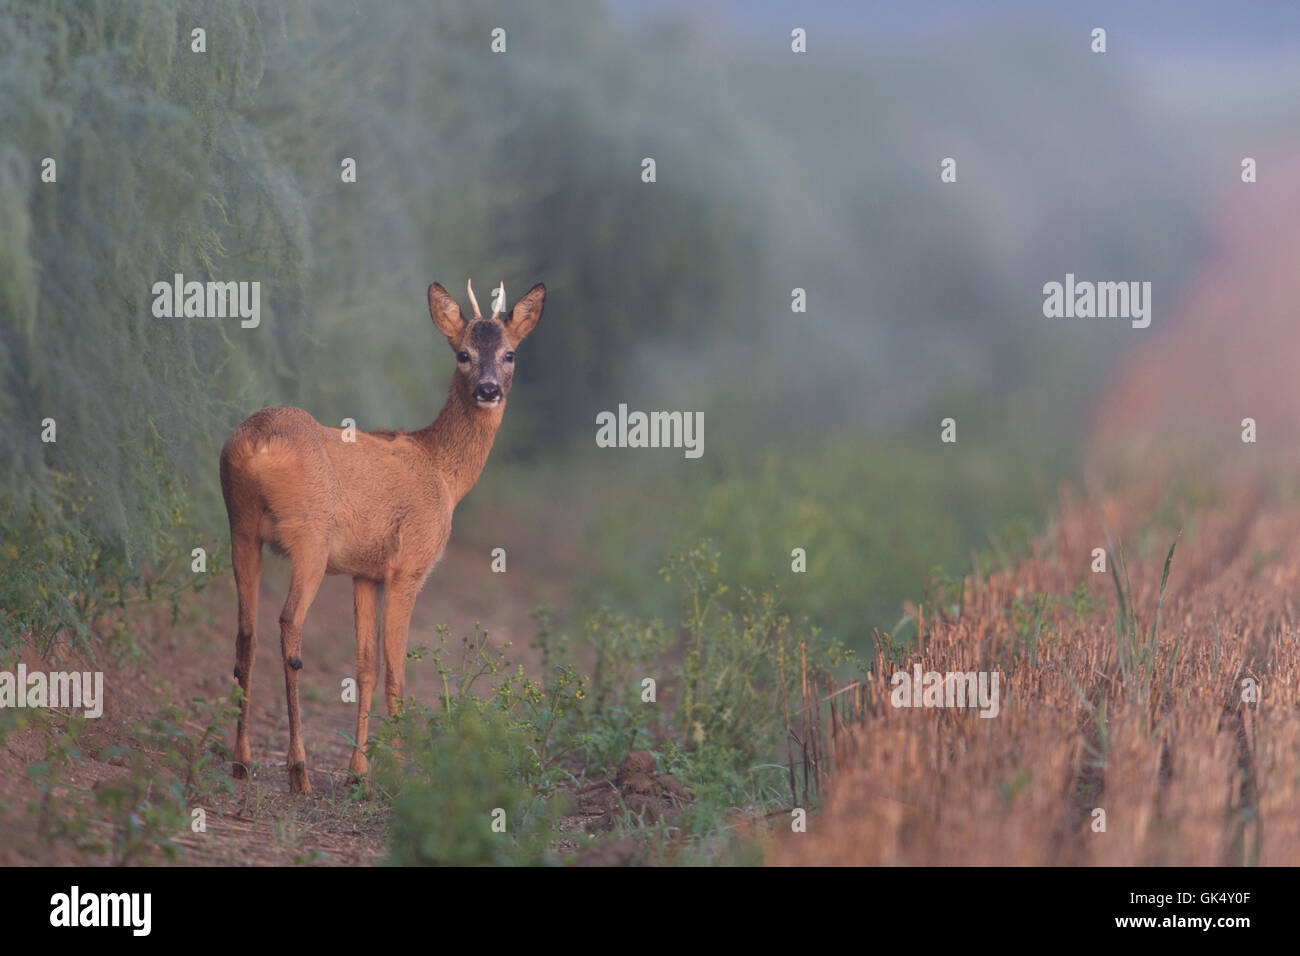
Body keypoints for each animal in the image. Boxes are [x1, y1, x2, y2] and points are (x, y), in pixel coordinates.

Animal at [218, 277, 543, 790]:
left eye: (510, 353)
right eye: (463, 354)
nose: (489, 389)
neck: (443, 473)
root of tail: (256, 443)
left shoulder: (365, 571)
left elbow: (366, 666)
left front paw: (359, 773)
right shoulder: (409, 564)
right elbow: (395, 671)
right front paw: (400, 773)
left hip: (240, 529)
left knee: (245, 634)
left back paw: (242, 760)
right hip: (310, 538)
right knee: (288, 625)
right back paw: (298, 769)